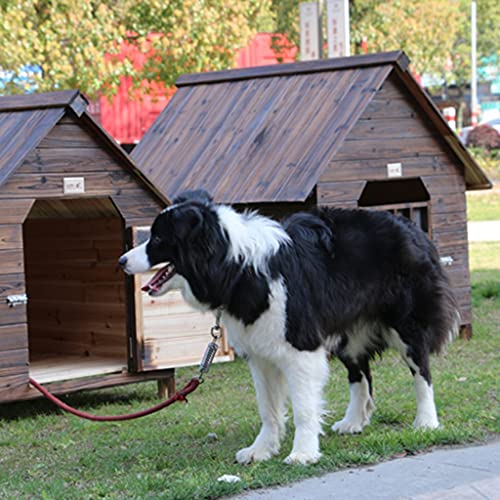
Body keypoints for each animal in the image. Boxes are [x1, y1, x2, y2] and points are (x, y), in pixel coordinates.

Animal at [119, 188, 458, 464]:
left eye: (158, 239)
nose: (121, 261)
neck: (237, 266)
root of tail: (411, 226)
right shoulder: (260, 352)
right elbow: (268, 407)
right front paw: (261, 450)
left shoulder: (301, 346)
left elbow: (304, 407)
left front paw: (303, 453)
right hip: (347, 332)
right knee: (359, 373)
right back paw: (353, 421)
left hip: (406, 323)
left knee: (421, 369)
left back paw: (426, 421)